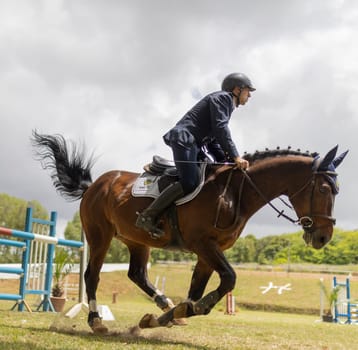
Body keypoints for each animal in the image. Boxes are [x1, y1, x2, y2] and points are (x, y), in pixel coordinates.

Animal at [32, 132, 348, 334]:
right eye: (323, 189)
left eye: (336, 191)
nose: (323, 237)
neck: (235, 192)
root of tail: (94, 185)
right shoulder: (203, 244)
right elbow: (228, 279)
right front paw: (189, 310)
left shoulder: (208, 252)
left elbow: (196, 291)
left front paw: (168, 316)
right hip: (100, 236)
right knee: (92, 276)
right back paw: (96, 321)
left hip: (137, 241)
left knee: (137, 274)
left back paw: (164, 303)